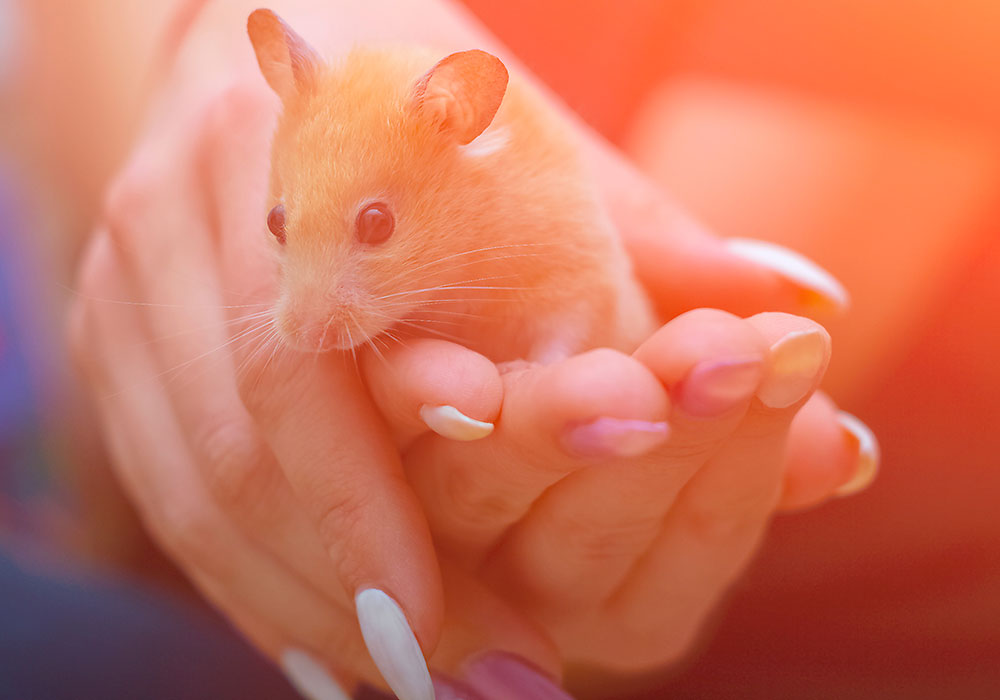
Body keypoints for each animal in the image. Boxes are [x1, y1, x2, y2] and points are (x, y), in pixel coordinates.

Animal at [248, 8, 656, 364]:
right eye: (274, 220)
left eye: (377, 223)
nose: (308, 338)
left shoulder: (582, 274)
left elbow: (563, 335)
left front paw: (522, 369)